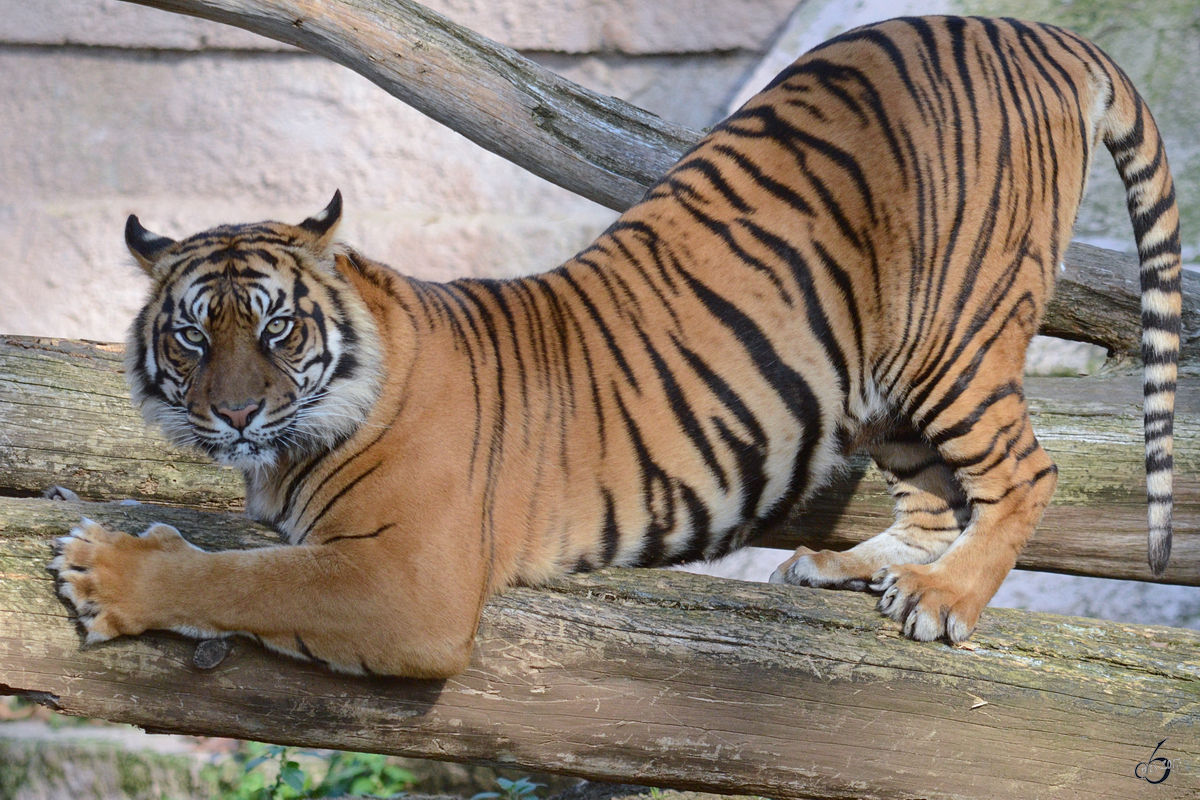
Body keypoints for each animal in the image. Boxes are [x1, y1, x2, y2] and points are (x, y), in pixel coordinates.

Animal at [49, 15, 1180, 681]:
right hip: (882, 379)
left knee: (1025, 469)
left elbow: (251, 580)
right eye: (193, 335)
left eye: (277, 327)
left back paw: (946, 598)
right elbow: (249, 558)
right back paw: (852, 567)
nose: (237, 412)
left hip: (952, 333)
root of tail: (1027, 28)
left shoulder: (408, 578)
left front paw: (105, 571)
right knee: (936, 493)